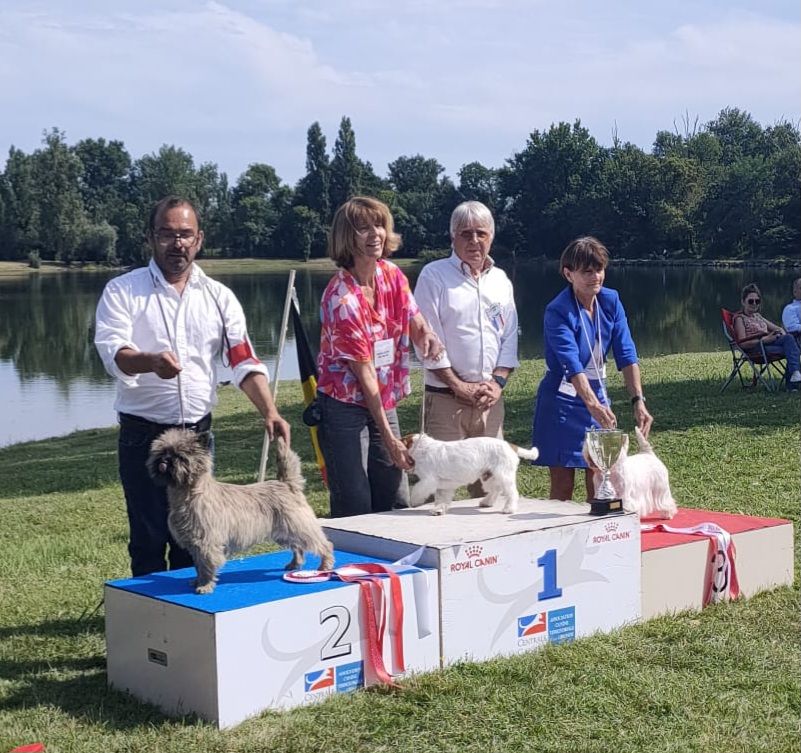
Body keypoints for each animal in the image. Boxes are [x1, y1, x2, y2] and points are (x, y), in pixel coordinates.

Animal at [400, 432, 536, 516]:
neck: (423, 448)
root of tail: (510, 445)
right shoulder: (444, 486)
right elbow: (441, 499)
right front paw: (439, 510)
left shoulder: (428, 481)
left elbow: (417, 490)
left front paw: (414, 501)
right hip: (489, 477)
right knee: (495, 490)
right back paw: (486, 502)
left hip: (504, 475)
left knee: (512, 493)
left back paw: (509, 509)